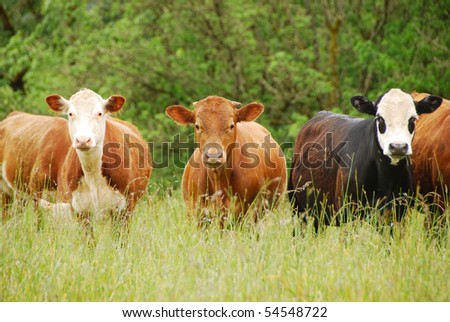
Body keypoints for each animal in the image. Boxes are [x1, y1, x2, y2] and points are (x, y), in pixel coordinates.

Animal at [0, 88, 152, 233]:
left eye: (99, 113)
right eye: (71, 113)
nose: (83, 140)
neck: (93, 173)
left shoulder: (124, 209)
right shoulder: (77, 209)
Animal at [288, 87, 440, 230]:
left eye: (413, 119)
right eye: (379, 118)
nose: (398, 146)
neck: (386, 180)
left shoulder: (396, 215)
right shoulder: (348, 212)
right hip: (297, 208)